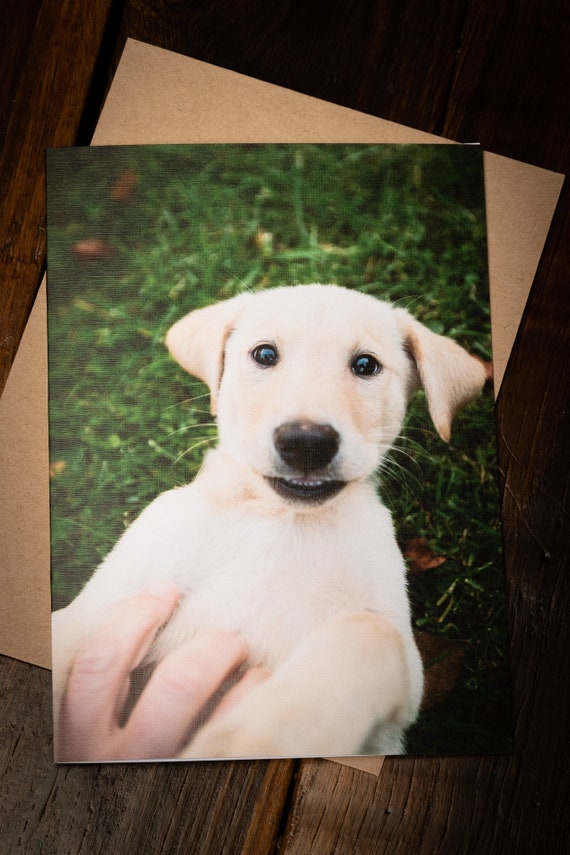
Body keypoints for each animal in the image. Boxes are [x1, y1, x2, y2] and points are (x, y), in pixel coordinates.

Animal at [53, 286, 486, 764]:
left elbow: (364, 634)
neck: (284, 520)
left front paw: (246, 738)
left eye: (366, 365)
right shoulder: (114, 599)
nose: (306, 443)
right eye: (264, 354)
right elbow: (61, 644)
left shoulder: (400, 660)